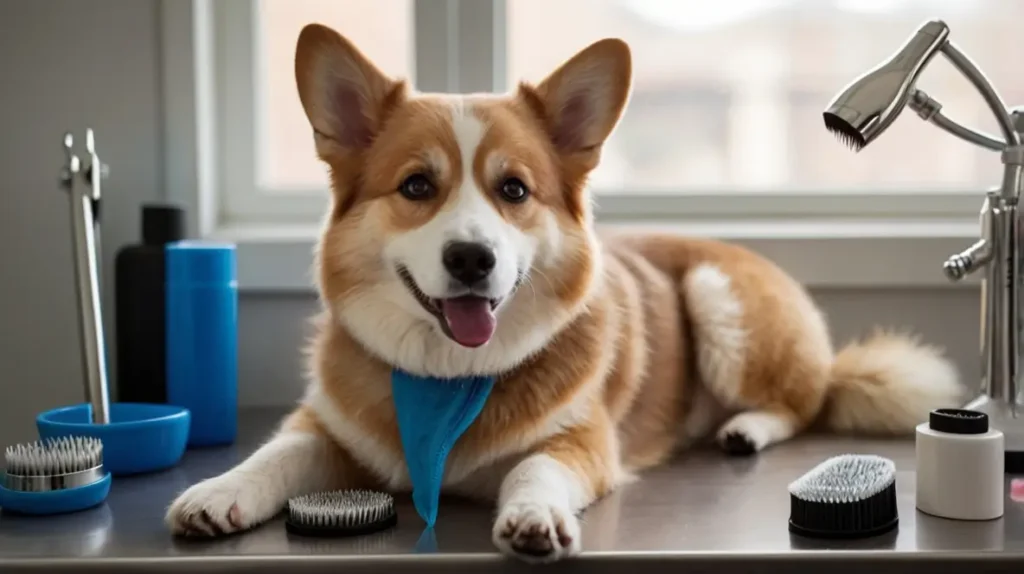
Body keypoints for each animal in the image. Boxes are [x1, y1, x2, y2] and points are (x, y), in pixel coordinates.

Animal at [163, 24, 962, 560]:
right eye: (416, 186)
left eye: (514, 190)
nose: (472, 258)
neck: (449, 380)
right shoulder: (322, 426)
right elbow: (274, 455)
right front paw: (216, 493)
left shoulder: (582, 442)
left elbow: (537, 467)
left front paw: (533, 519)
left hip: (717, 298)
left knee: (804, 401)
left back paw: (747, 428)